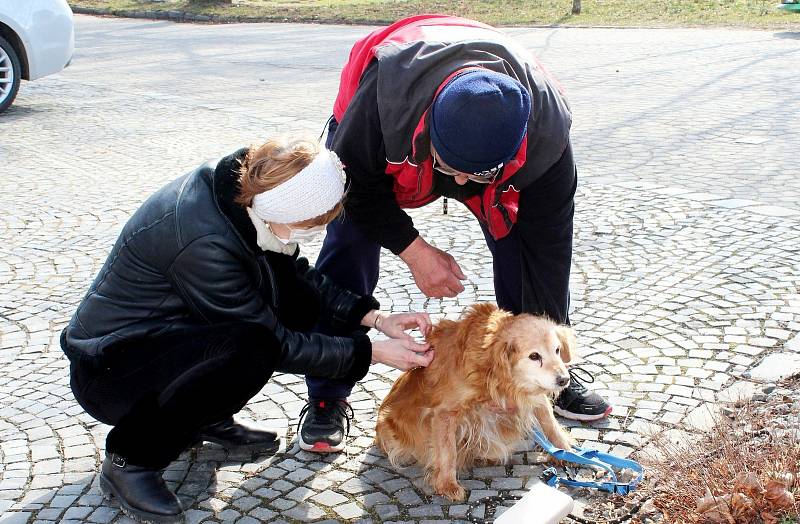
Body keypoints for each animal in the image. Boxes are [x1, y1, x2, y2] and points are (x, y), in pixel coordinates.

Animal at [376, 304, 576, 502]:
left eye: (557, 350)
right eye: (534, 356)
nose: (564, 380)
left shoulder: (533, 394)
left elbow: (550, 423)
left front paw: (564, 450)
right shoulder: (444, 413)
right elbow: (448, 451)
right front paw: (448, 485)